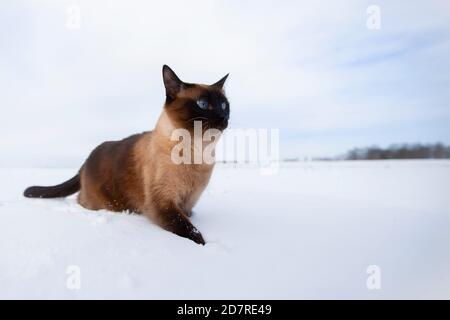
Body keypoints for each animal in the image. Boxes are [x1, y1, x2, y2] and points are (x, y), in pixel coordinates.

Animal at [23, 65, 229, 245]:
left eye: (224, 105)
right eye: (203, 104)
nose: (223, 117)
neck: (199, 152)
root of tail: (85, 160)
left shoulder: (189, 201)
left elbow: (188, 216)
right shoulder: (162, 202)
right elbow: (187, 227)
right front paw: (203, 245)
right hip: (102, 202)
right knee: (80, 199)